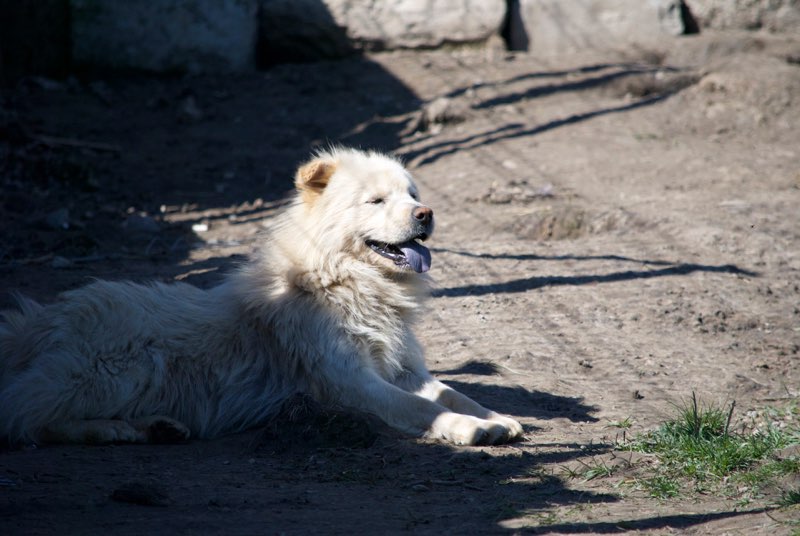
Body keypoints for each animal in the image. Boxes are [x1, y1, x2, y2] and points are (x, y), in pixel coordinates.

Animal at [1, 147, 524, 444]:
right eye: (376, 201)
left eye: (412, 194)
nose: (426, 214)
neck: (344, 281)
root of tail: (36, 323)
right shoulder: (349, 382)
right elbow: (424, 409)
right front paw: (468, 430)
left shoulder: (403, 370)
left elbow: (453, 392)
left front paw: (498, 417)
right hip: (124, 368)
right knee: (26, 418)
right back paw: (119, 429)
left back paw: (155, 427)